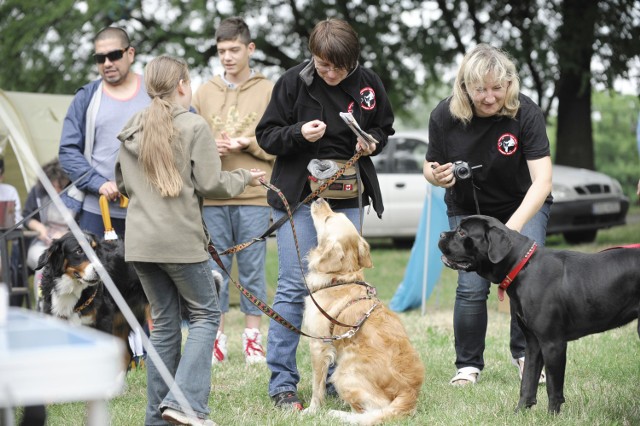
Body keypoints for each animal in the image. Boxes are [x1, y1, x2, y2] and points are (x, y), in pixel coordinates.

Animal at [440, 216, 640, 412]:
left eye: (462, 232)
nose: (441, 234)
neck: (522, 267)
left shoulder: (553, 343)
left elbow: (553, 387)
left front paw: (552, 415)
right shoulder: (533, 343)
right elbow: (527, 382)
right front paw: (520, 412)